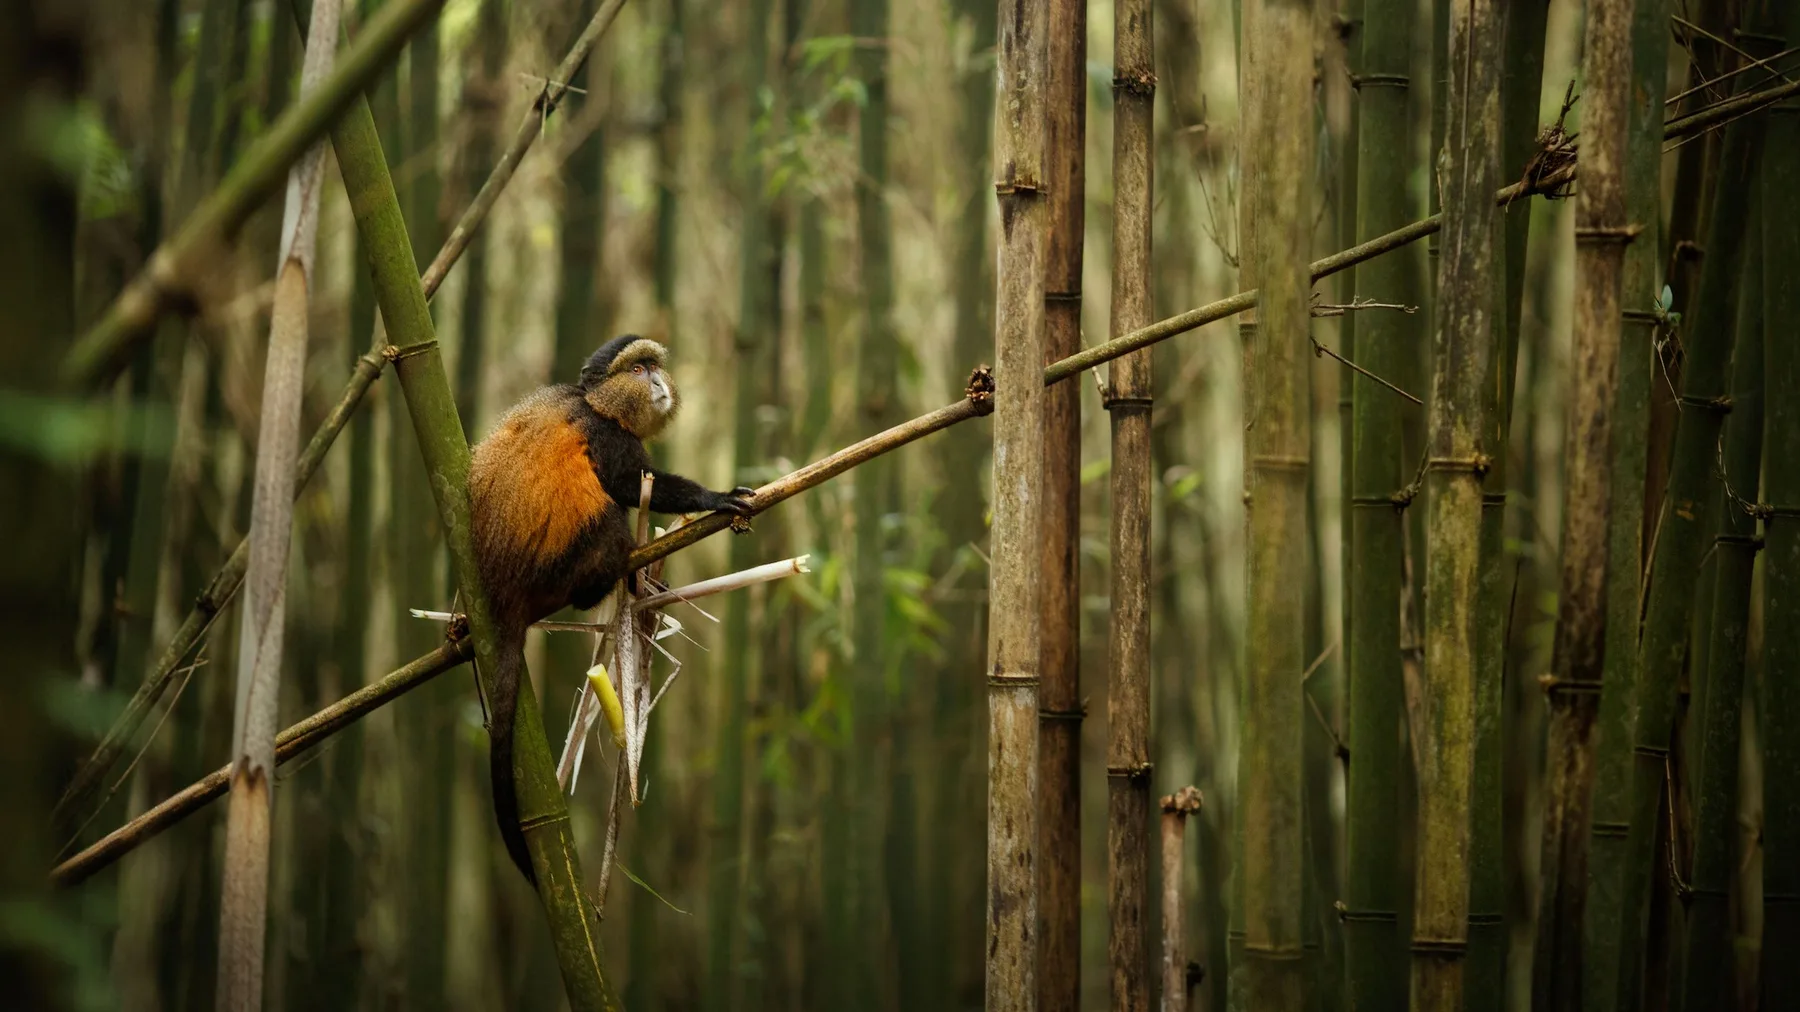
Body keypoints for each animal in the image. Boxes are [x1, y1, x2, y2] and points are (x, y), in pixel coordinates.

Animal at [467, 334, 753, 884]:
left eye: (654, 367)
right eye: (638, 370)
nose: (658, 382)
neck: (593, 402)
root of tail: (505, 593)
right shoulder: (609, 438)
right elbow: (627, 483)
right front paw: (716, 497)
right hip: (570, 562)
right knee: (610, 519)